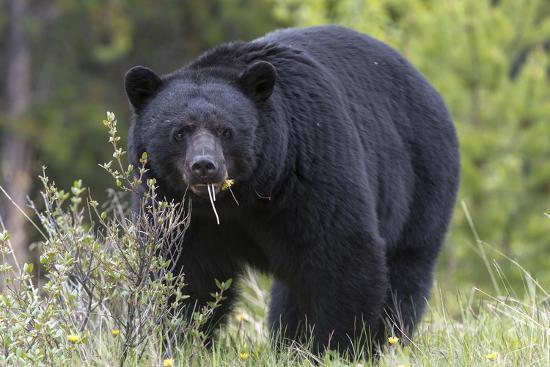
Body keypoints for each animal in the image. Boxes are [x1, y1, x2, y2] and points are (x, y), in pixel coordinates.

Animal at [125, 25, 462, 356]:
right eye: (179, 131)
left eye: (226, 130)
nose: (204, 166)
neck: (241, 197)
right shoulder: (175, 205)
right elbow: (184, 271)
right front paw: (182, 341)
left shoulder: (309, 171)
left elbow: (341, 253)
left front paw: (336, 347)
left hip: (421, 178)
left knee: (406, 269)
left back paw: (386, 340)